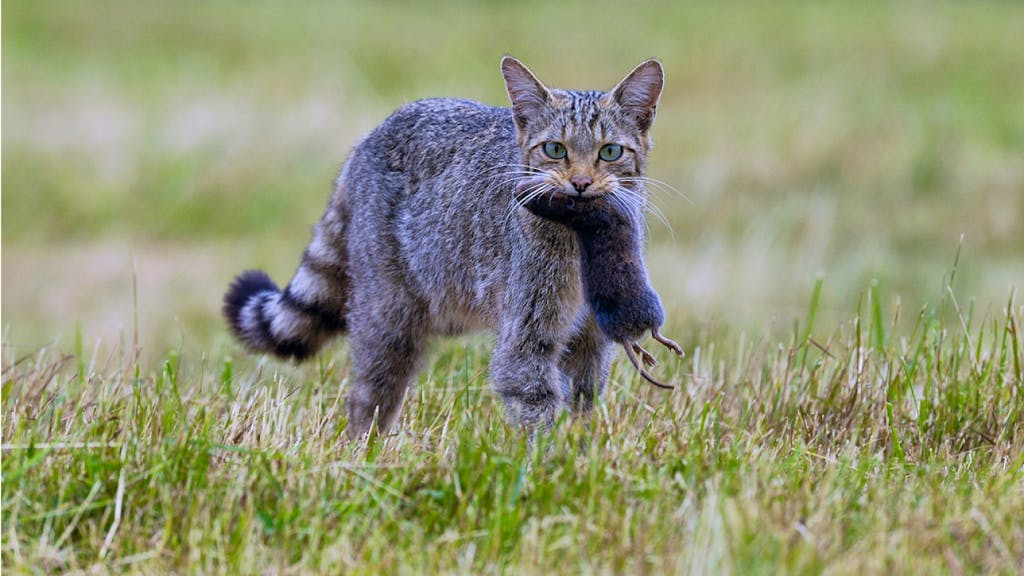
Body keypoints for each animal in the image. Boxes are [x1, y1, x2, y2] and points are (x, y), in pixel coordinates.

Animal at [226, 57, 663, 434]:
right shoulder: (527, 335)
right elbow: (534, 401)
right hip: (388, 316)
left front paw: (579, 453)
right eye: (555, 149)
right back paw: (366, 451)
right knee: (368, 398)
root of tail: (367, 141)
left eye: (610, 152)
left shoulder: (591, 341)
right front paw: (544, 463)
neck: (581, 238)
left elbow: (583, 406)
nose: (581, 183)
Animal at [516, 177, 684, 387]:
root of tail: (622, 331)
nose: (516, 190)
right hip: (653, 308)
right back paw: (671, 349)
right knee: (654, 333)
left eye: (537, 194)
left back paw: (650, 355)